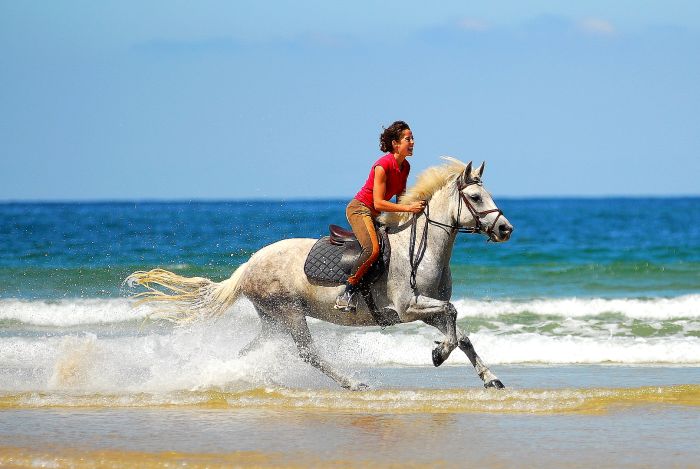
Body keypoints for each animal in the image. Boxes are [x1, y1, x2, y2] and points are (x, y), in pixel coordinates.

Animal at [129, 159, 516, 390]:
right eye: (476, 197)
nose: (506, 229)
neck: (420, 245)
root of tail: (249, 265)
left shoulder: (426, 310)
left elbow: (462, 334)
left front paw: (490, 378)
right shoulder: (410, 308)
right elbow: (453, 316)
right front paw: (438, 354)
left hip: (272, 319)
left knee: (251, 349)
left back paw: (230, 376)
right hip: (288, 312)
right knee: (308, 354)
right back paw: (352, 384)